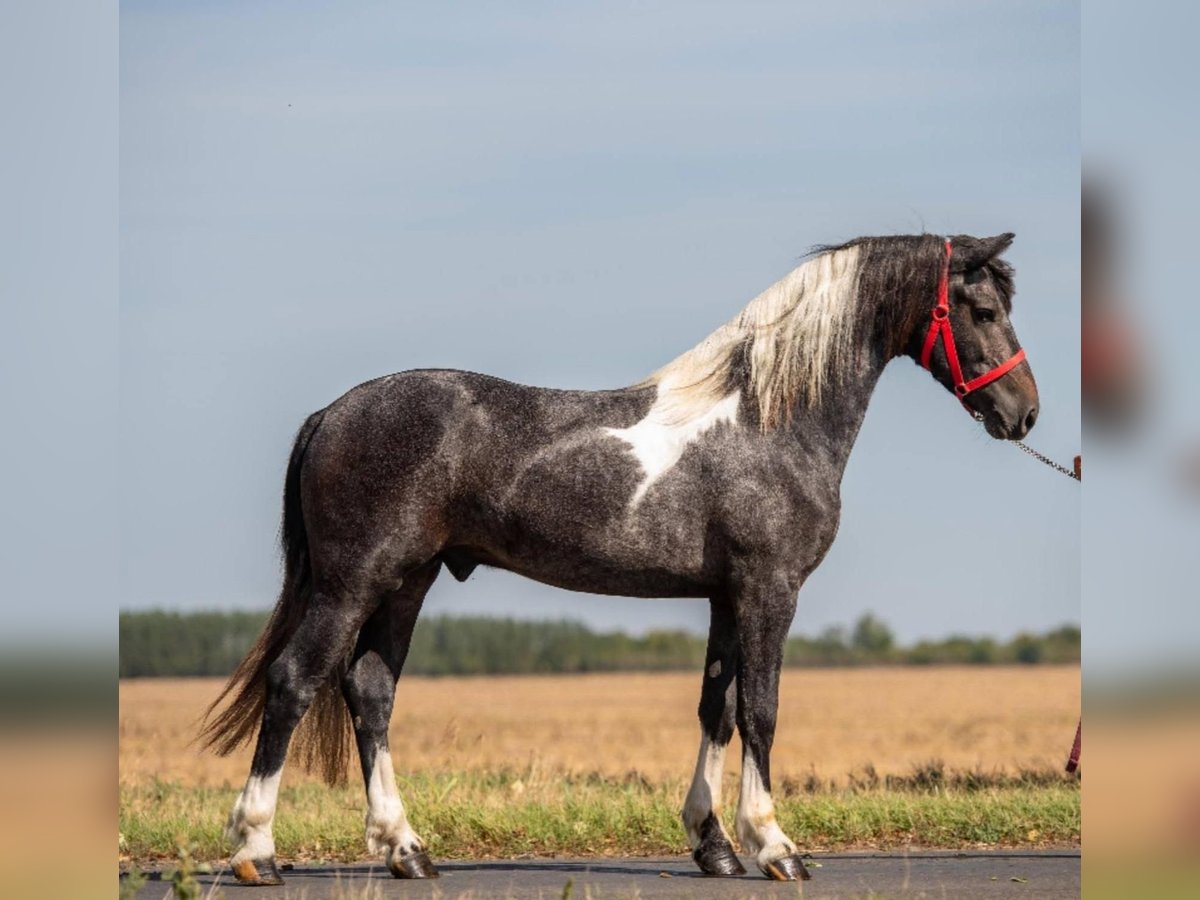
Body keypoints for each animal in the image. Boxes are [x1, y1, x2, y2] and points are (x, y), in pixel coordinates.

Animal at [202, 231, 1039, 884]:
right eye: (984, 311)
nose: (1024, 412)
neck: (767, 421)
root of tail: (332, 412)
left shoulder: (725, 595)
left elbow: (717, 709)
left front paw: (713, 846)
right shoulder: (768, 589)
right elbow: (762, 712)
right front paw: (774, 846)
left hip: (406, 582)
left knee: (370, 691)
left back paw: (406, 849)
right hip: (352, 582)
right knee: (294, 682)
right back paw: (257, 851)